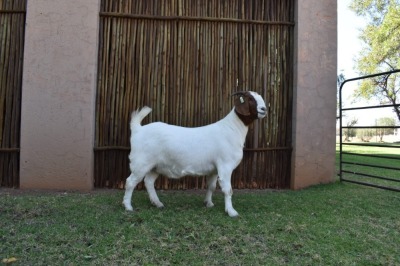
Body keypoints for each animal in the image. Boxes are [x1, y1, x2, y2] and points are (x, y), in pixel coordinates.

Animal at [122, 91, 266, 216]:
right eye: (250, 99)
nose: (264, 109)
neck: (231, 129)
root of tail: (138, 129)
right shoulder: (225, 166)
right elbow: (227, 189)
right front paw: (231, 212)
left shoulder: (214, 169)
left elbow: (211, 186)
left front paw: (208, 203)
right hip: (141, 162)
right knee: (130, 182)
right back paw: (128, 206)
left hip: (155, 166)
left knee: (149, 182)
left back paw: (157, 203)